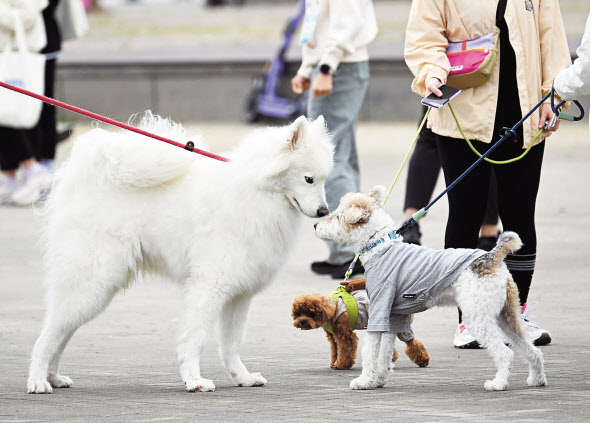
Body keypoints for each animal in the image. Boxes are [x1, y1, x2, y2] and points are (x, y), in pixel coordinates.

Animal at [27, 112, 336, 394]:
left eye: (324, 180)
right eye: (308, 179)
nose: (324, 212)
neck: (258, 192)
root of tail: (85, 180)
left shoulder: (239, 296)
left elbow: (232, 345)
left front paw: (242, 377)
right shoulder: (209, 287)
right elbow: (195, 338)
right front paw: (194, 380)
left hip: (92, 291)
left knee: (62, 333)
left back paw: (54, 377)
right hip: (92, 285)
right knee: (48, 335)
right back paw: (38, 381)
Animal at [316, 187, 548, 392]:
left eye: (338, 217)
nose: (316, 225)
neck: (379, 247)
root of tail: (492, 257)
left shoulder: (379, 311)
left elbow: (370, 351)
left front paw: (364, 381)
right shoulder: (393, 316)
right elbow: (384, 354)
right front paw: (378, 381)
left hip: (478, 318)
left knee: (504, 353)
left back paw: (498, 384)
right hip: (507, 315)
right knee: (532, 350)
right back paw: (536, 380)